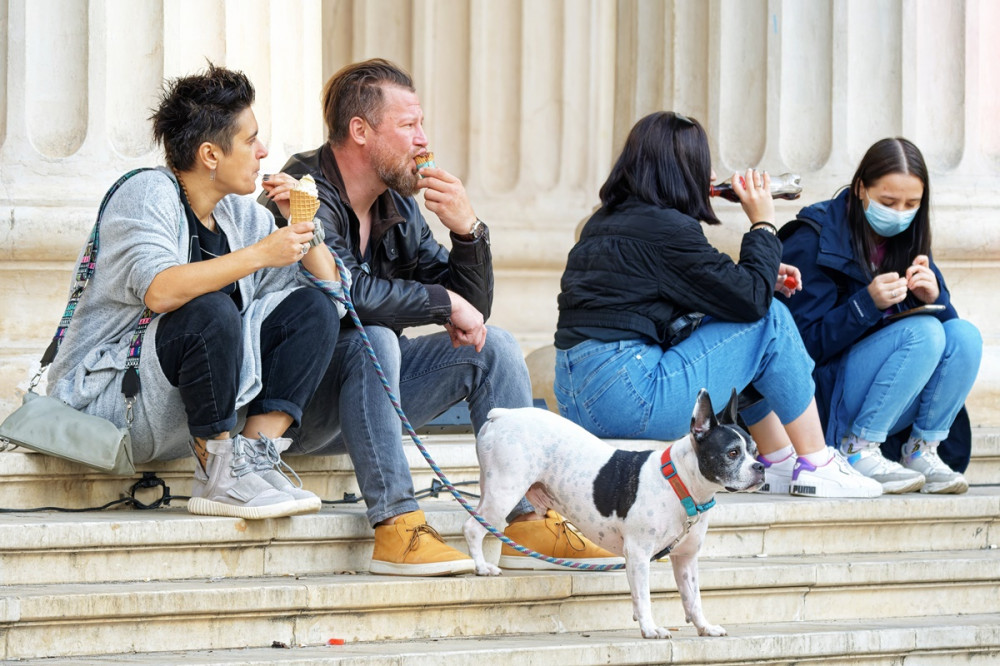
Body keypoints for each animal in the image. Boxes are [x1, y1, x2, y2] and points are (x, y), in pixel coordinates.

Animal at [464, 390, 760, 640]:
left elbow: (693, 598)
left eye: (755, 452)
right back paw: (481, 566)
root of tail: (503, 415)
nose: (759, 467)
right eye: (732, 453)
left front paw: (704, 627)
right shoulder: (639, 554)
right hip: (504, 493)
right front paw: (650, 628)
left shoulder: (685, 558)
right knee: (472, 527)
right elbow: (644, 596)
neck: (680, 483)